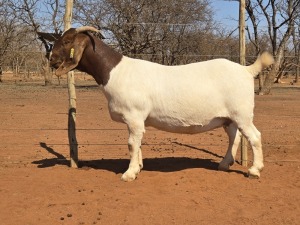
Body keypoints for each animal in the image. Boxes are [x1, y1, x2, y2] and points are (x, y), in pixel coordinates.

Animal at [49, 26, 274, 181]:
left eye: (67, 40)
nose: (50, 58)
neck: (115, 71)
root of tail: (247, 70)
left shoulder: (134, 115)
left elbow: (131, 144)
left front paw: (129, 174)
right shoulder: (135, 120)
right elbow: (137, 143)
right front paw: (139, 167)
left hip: (242, 114)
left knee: (254, 136)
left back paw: (255, 170)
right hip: (229, 117)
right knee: (234, 137)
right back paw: (224, 164)